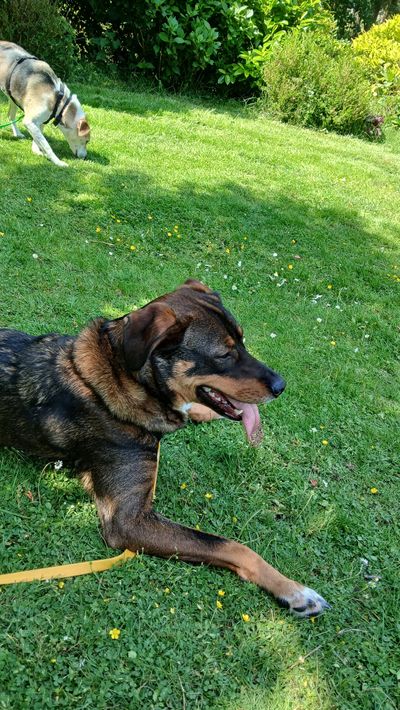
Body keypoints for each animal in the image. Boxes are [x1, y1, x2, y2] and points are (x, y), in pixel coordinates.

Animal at [0, 280, 330, 617]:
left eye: (243, 340)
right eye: (224, 354)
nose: (281, 386)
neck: (124, 379)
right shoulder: (128, 521)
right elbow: (231, 545)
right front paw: (293, 590)